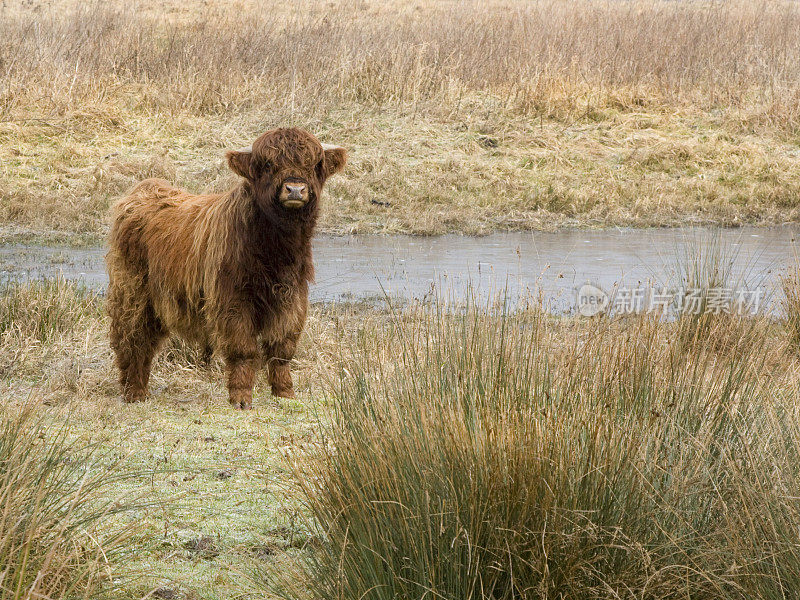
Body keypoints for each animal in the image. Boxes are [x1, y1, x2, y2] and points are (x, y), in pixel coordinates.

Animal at [106, 126, 346, 408]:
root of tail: (144, 190)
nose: (295, 189)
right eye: (268, 165)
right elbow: (243, 349)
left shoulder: (292, 299)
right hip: (133, 292)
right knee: (132, 339)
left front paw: (285, 393)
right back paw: (133, 392)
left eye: (314, 164)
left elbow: (281, 349)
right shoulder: (233, 302)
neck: (277, 250)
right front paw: (241, 398)